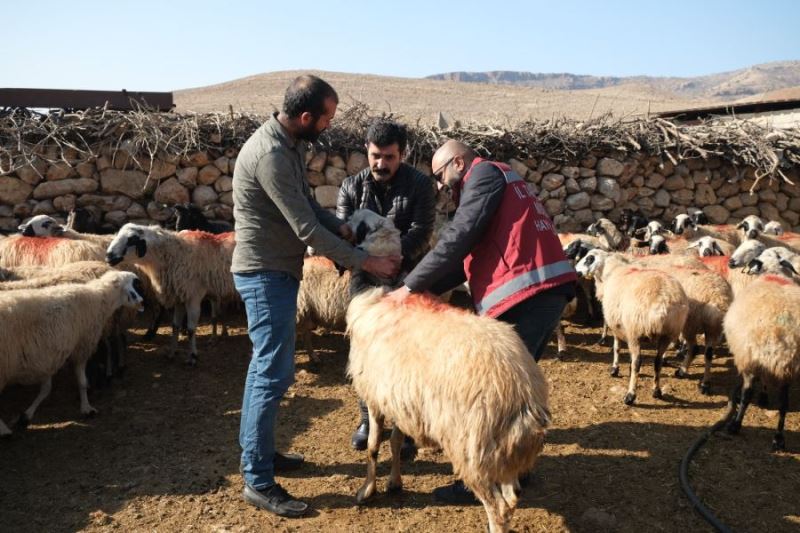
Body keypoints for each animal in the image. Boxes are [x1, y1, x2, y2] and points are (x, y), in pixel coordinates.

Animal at [0, 270, 142, 436]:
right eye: (135, 284)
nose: (142, 302)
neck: (99, 299)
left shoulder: (48, 356)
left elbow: (46, 389)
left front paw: (27, 415)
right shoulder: (81, 346)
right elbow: (82, 382)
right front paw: (87, 408)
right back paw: (4, 431)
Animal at [104, 223, 234, 366]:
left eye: (132, 239)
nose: (108, 257)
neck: (175, 254)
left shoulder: (193, 297)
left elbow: (191, 329)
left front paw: (193, 357)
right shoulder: (179, 297)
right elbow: (175, 326)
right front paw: (172, 352)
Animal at [346, 286, 552, 532]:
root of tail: (522, 390)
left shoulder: (375, 398)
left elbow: (373, 446)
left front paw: (367, 490)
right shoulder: (399, 400)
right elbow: (395, 442)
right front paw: (394, 482)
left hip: (470, 448)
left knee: (498, 507)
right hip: (500, 450)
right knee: (511, 498)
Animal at [576, 249, 688, 404]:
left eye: (589, 259)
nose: (576, 271)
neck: (611, 271)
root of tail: (663, 301)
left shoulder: (616, 324)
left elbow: (616, 347)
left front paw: (614, 369)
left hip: (635, 331)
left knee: (637, 362)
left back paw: (630, 395)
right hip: (668, 333)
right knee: (657, 362)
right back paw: (656, 391)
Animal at [720, 270, 800, 448]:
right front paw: (764, 397)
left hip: (752, 359)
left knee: (747, 395)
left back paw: (735, 425)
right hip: (788, 369)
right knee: (784, 403)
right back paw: (778, 437)